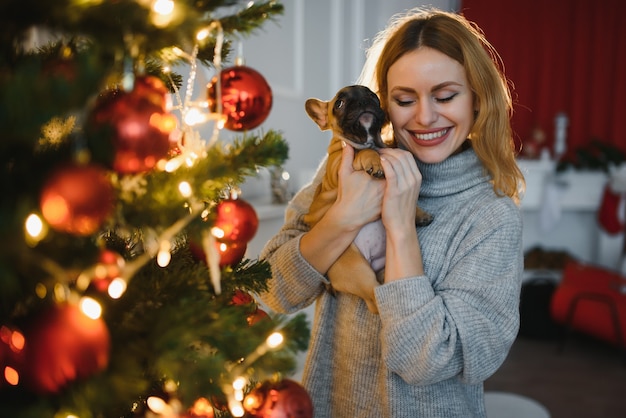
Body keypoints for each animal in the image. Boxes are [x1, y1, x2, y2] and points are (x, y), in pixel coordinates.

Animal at [304, 85, 432, 314]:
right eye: (339, 103)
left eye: (372, 96)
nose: (363, 101)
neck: (372, 143)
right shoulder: (337, 166)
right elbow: (359, 154)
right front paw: (373, 161)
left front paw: (420, 213)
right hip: (356, 268)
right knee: (373, 299)